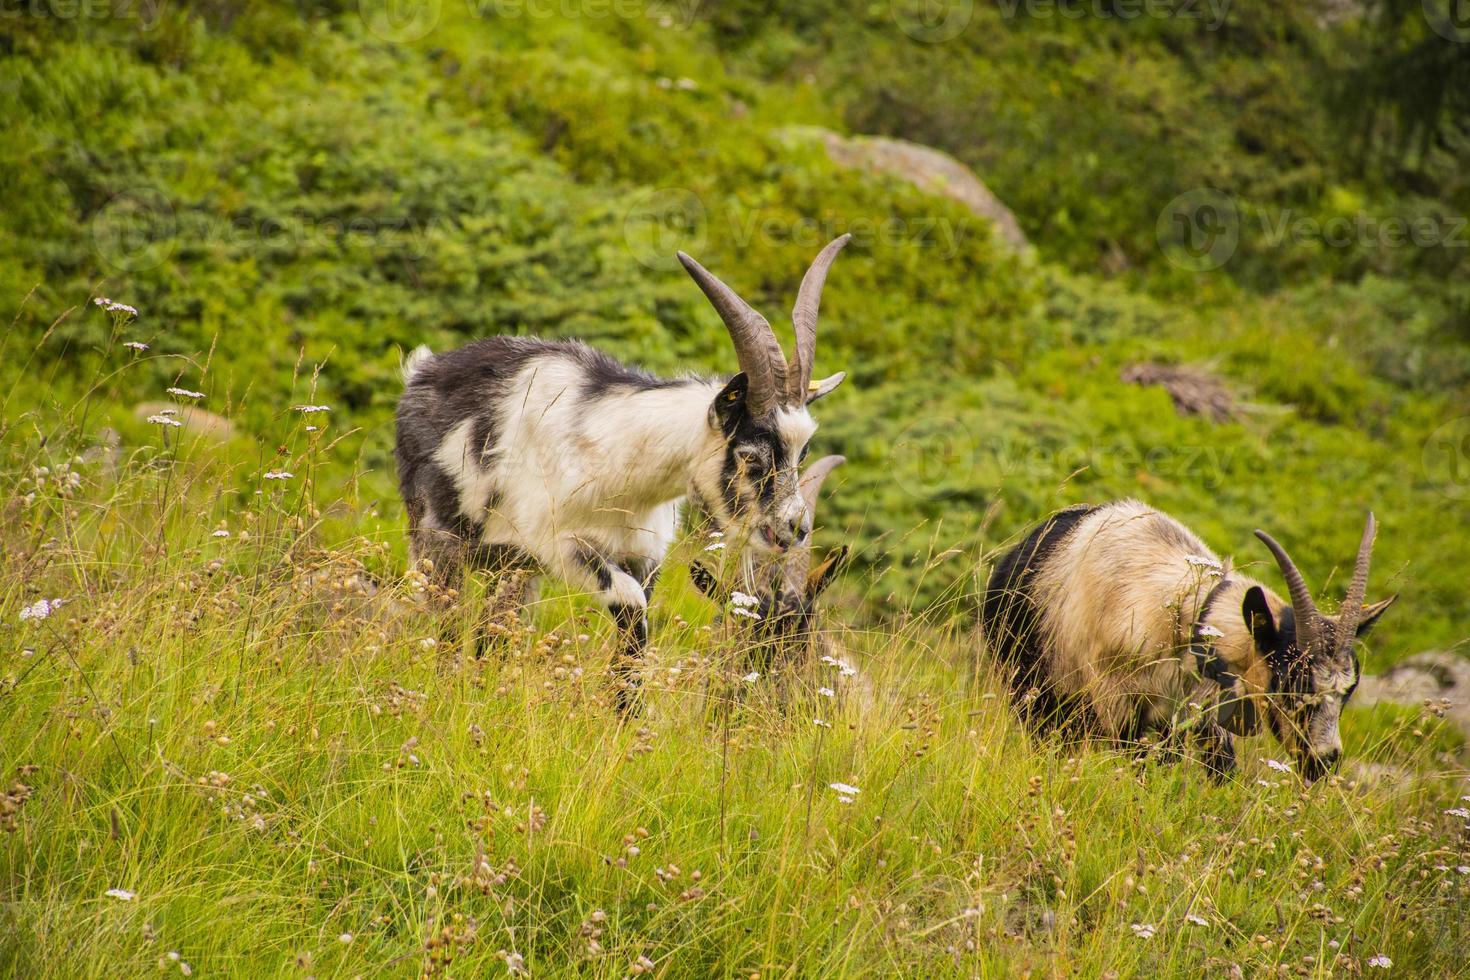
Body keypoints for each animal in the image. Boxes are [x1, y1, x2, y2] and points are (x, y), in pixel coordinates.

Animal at [981, 502, 1393, 775]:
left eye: (1349, 690)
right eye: (1292, 682)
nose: (1323, 761)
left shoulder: (1198, 711)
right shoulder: (1117, 703)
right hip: (1037, 696)